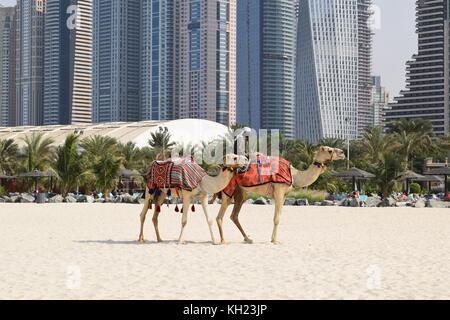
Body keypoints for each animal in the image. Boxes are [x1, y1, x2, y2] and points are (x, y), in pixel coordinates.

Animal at [216, 146, 346, 244]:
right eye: (330, 150)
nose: (343, 152)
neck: (294, 175)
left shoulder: (284, 195)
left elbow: (279, 216)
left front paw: (273, 239)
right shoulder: (279, 190)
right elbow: (277, 218)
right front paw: (275, 240)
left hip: (241, 193)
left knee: (234, 215)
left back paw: (248, 239)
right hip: (228, 190)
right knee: (220, 216)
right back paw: (223, 241)